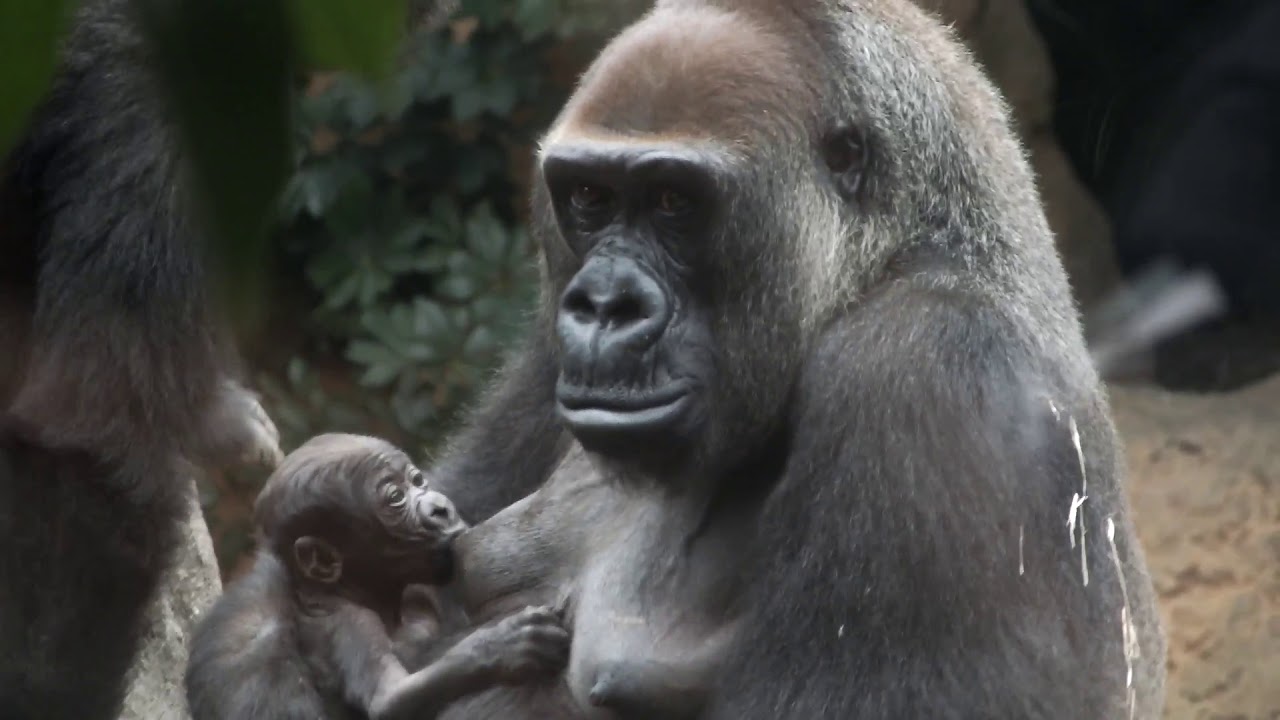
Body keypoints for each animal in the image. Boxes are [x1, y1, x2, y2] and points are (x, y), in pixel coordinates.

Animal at [184, 433, 571, 720]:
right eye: (396, 498)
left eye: (417, 480)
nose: (439, 508)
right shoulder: (350, 623)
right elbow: (388, 699)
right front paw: (502, 647)